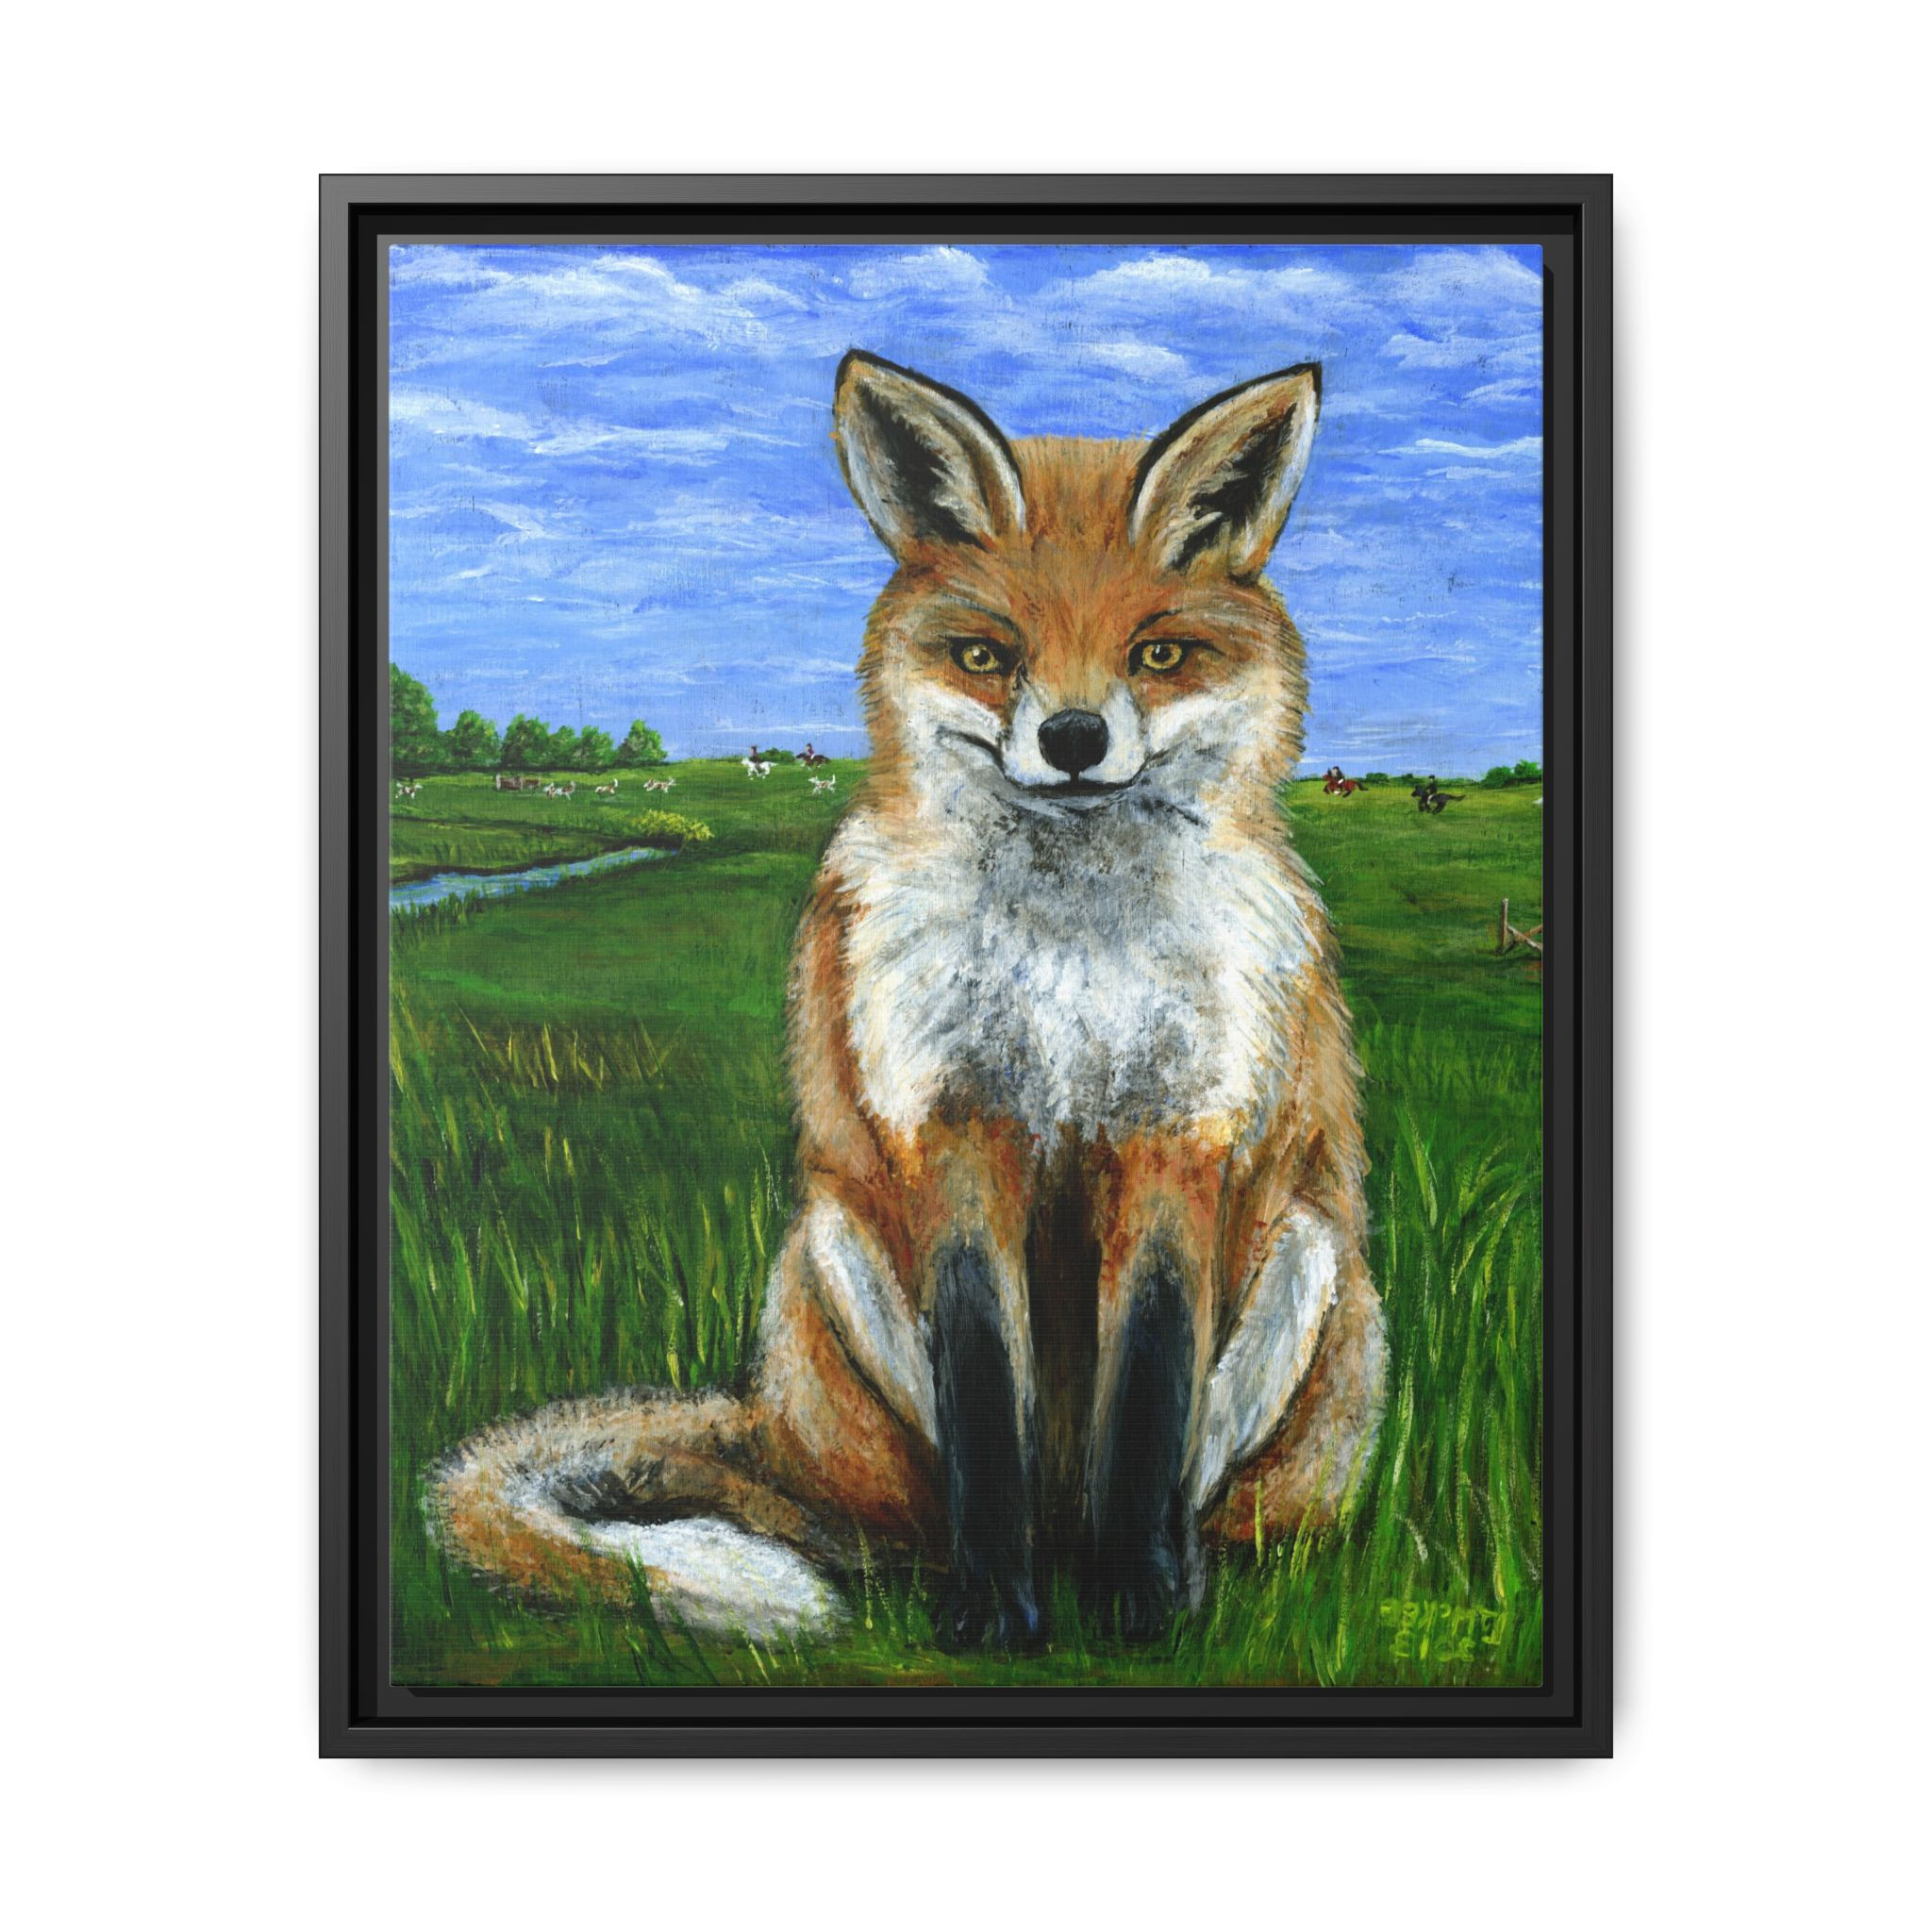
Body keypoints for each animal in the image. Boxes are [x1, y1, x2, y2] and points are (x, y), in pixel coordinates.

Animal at [432, 350, 1387, 1646]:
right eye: (988, 656)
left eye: (1157, 655)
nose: (1073, 736)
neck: (1067, 959)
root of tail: (770, 1430)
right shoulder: (944, 1120)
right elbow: (982, 1391)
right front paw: (991, 1610)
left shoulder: (1176, 1129)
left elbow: (1148, 1394)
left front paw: (1138, 1599)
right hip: (829, 1250)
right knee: (877, 1518)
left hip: (1311, 1257)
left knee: (1190, 1485)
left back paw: (1151, 1565)